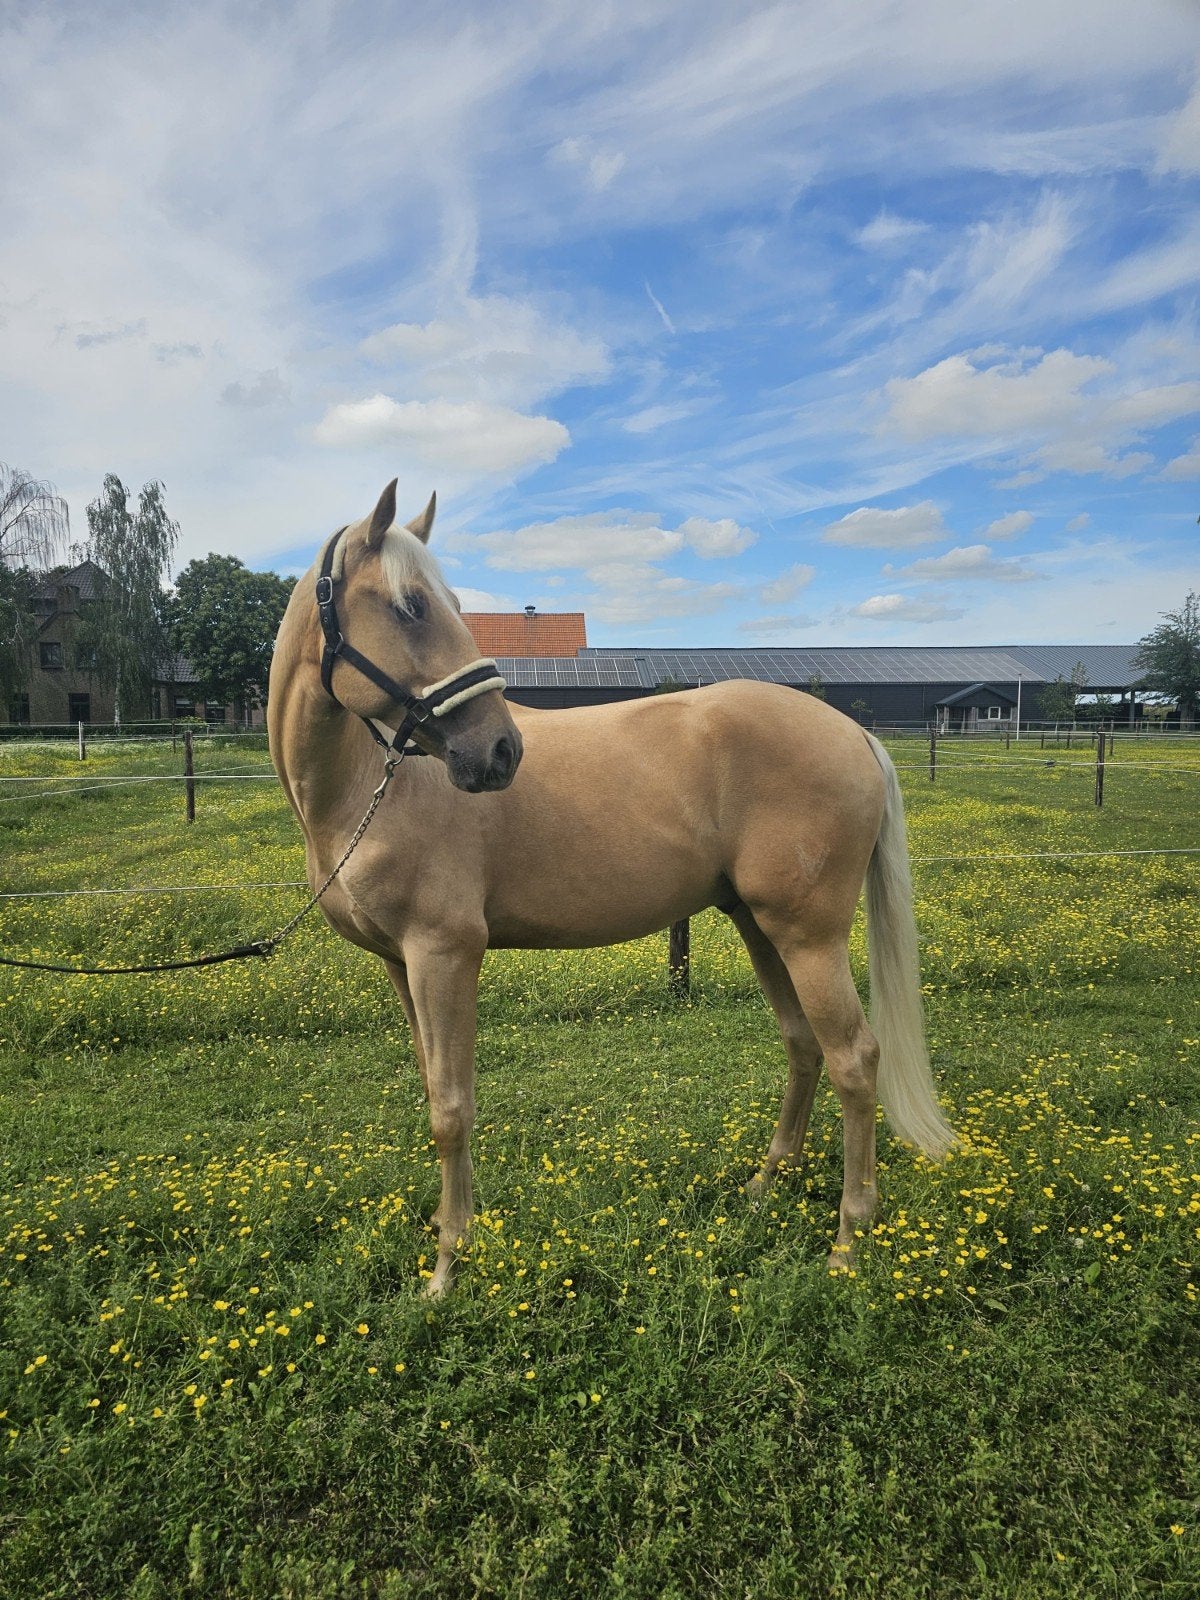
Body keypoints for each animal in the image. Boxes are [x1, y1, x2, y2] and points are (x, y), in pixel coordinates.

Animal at [268, 481, 956, 1297]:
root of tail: (853, 734)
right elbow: (435, 1090)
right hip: (760, 926)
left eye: (440, 603)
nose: (500, 751)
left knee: (854, 1059)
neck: (373, 788)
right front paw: (447, 1232)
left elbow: (452, 1108)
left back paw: (848, 1239)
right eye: (410, 606)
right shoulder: (401, 966)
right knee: (803, 1045)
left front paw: (447, 1266)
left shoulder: (445, 955)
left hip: (809, 937)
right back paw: (766, 1184)